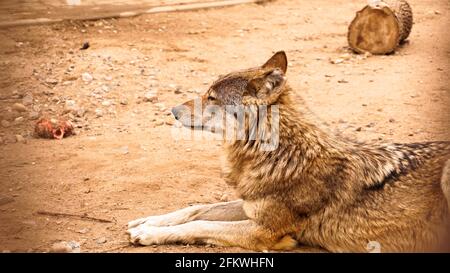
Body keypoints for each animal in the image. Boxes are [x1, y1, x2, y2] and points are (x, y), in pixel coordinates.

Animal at [126, 50, 450, 251]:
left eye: (212, 97)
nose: (172, 111)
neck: (281, 154)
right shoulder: (251, 206)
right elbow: (195, 209)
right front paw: (146, 221)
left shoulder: (265, 231)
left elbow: (201, 223)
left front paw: (147, 234)